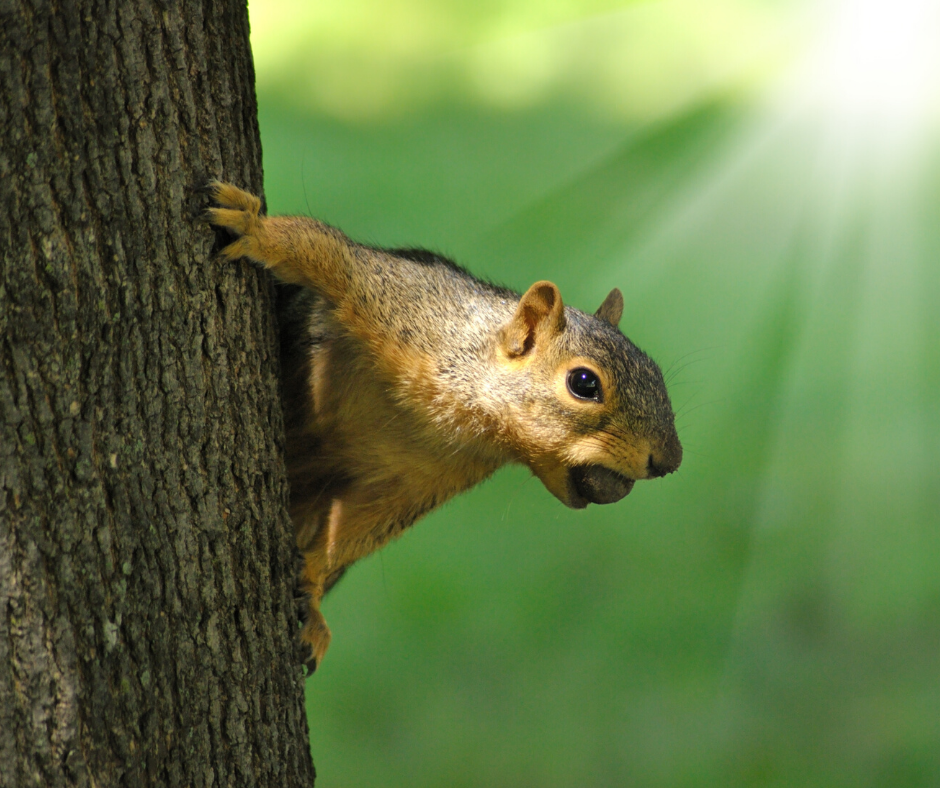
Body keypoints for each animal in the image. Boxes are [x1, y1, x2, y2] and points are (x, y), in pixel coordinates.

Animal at [204, 180, 684, 672]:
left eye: (658, 374)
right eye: (584, 383)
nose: (670, 460)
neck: (460, 412)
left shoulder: (423, 482)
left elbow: (358, 530)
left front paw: (313, 589)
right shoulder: (395, 300)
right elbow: (323, 250)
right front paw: (253, 227)